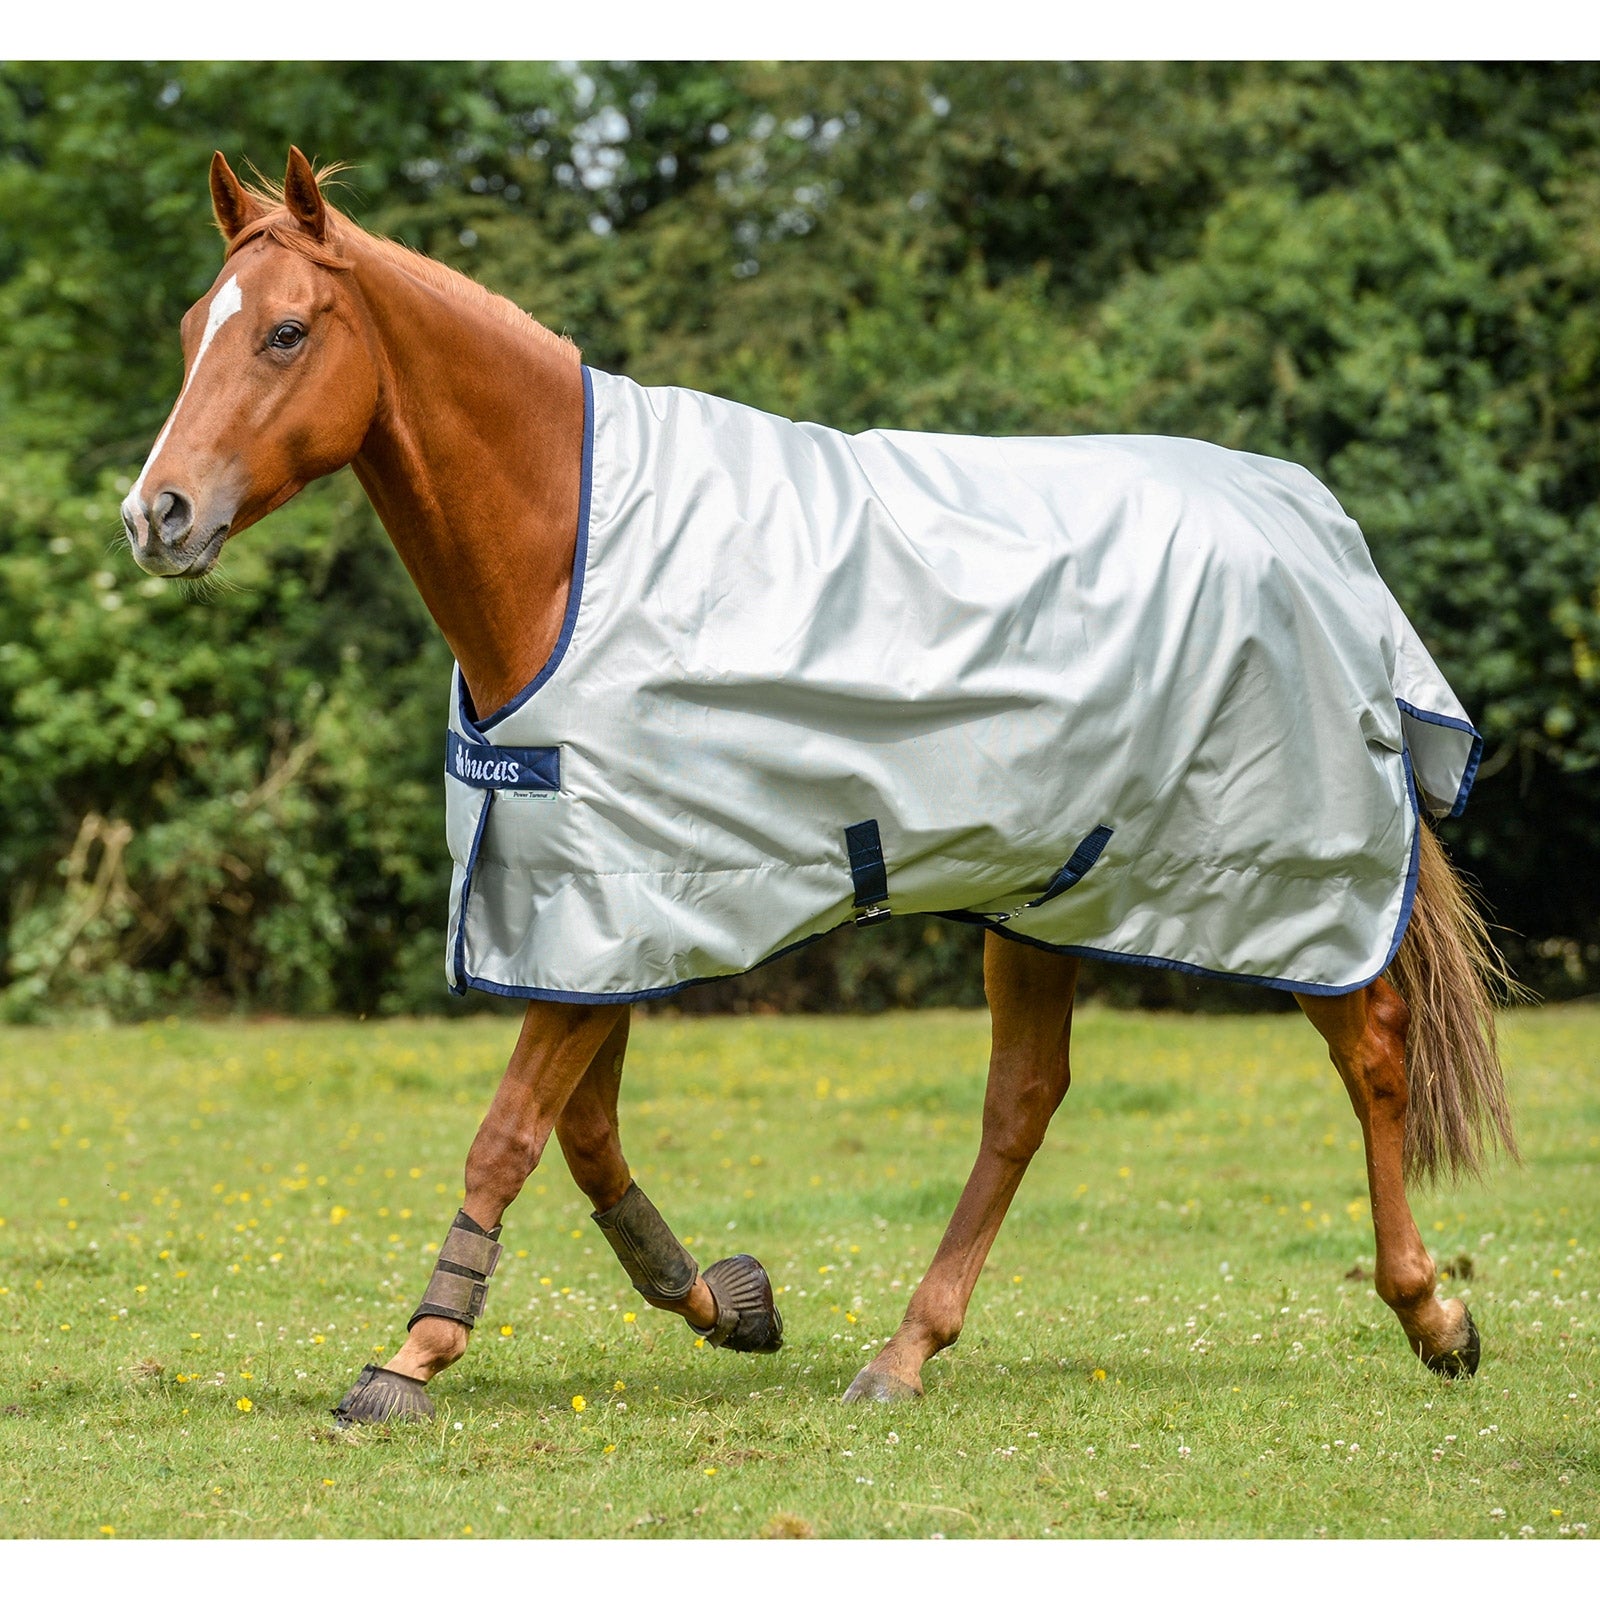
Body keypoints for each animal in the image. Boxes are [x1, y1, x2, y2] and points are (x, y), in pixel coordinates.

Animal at [118, 148, 1519, 1425]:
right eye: (191, 330)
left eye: (288, 331)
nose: (157, 515)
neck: (570, 547)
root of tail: (1313, 526)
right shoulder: (593, 910)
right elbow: (585, 1135)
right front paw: (727, 1301)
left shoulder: (604, 916)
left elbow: (510, 1132)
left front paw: (412, 1355)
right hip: (1049, 892)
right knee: (1023, 1103)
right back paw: (906, 1350)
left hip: (1288, 880)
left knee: (1371, 1048)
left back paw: (1430, 1312)